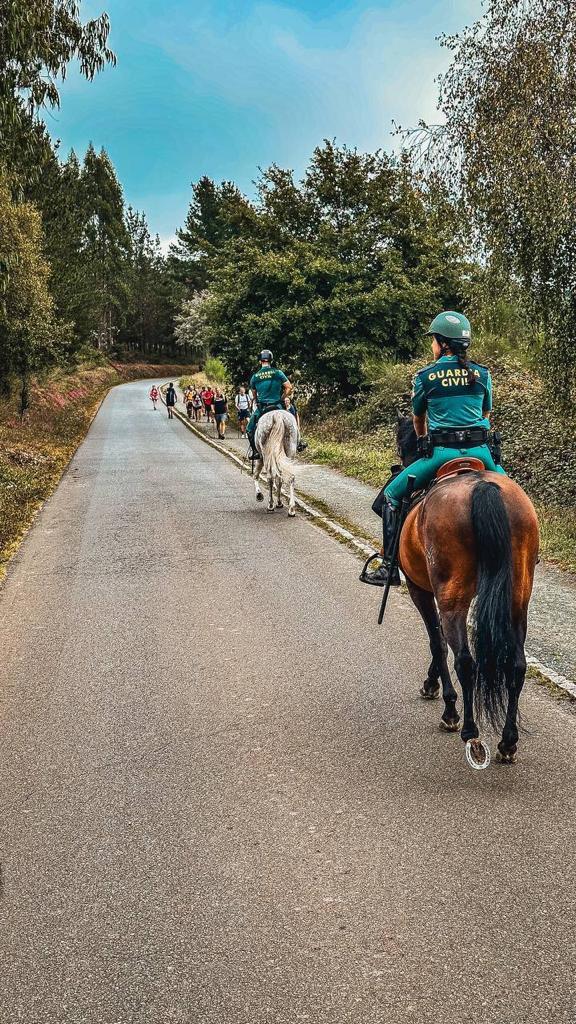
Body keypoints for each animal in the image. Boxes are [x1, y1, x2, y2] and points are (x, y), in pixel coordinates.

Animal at [393, 417, 537, 770]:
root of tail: (482, 488)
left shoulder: (419, 588)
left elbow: (437, 640)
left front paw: (442, 698)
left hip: (451, 595)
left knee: (465, 660)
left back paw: (469, 731)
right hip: (517, 599)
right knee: (516, 664)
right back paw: (508, 742)